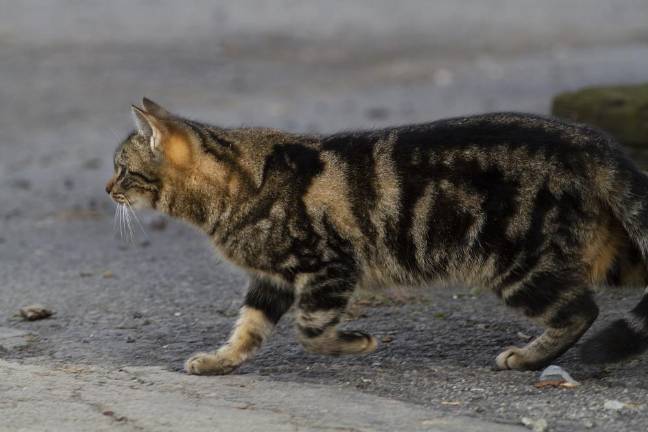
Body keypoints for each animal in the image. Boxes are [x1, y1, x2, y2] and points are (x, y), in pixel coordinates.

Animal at [106, 98, 648, 374]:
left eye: (123, 169)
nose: (108, 188)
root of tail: (590, 139)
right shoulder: (271, 280)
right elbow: (248, 329)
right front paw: (220, 361)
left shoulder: (327, 267)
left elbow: (311, 331)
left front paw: (356, 344)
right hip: (607, 253)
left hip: (519, 265)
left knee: (580, 311)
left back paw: (530, 357)